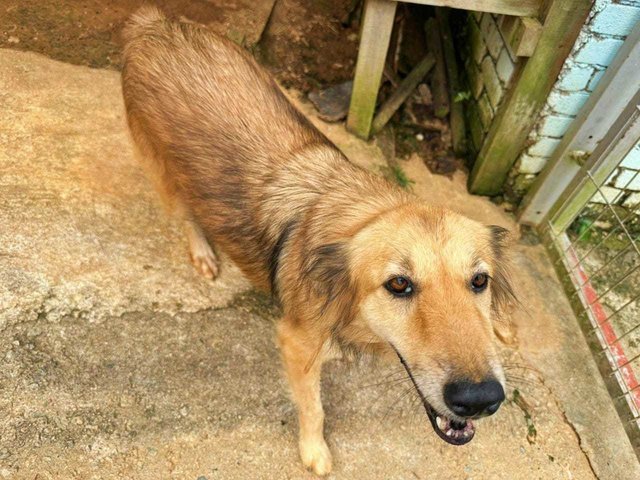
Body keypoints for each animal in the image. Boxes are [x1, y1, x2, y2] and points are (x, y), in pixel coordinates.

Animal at [121, 5, 516, 474]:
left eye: (480, 281)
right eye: (399, 284)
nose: (480, 400)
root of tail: (153, 23)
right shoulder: (297, 343)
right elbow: (314, 407)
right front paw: (314, 450)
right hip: (160, 166)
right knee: (183, 211)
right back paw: (202, 250)